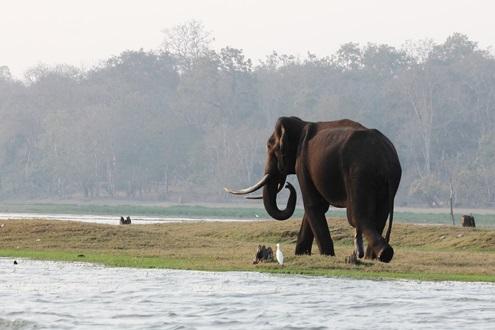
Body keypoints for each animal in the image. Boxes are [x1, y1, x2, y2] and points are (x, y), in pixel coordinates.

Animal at [227, 116, 402, 262]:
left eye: (271, 148)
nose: (287, 185)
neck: (301, 123)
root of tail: (386, 158)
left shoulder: (302, 163)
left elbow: (313, 205)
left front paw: (327, 255)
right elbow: (316, 207)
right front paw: (301, 254)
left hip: (358, 173)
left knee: (357, 216)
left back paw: (383, 254)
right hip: (387, 180)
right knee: (380, 215)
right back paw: (373, 257)